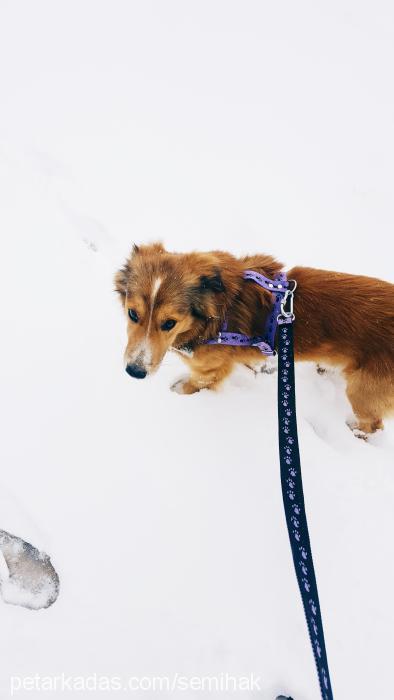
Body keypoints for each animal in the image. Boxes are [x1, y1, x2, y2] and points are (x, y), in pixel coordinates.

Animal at [115, 243, 394, 434]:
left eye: (169, 323)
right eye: (132, 314)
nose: (134, 372)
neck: (213, 311)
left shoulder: (210, 370)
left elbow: (196, 383)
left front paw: (180, 392)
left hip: (361, 392)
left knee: (373, 424)